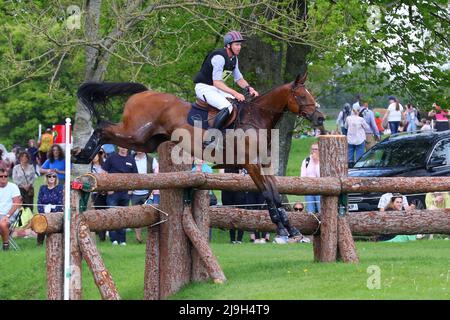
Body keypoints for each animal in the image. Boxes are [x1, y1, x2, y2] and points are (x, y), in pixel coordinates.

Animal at [74, 74, 326, 241]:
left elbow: (274, 192)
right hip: (135, 133)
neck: (257, 119)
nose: (320, 118)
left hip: (146, 141)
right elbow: (266, 194)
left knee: (110, 131)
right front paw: (282, 229)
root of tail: (143, 92)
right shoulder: (251, 164)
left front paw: (291, 229)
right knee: (103, 127)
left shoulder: (264, 164)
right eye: (301, 95)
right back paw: (82, 154)